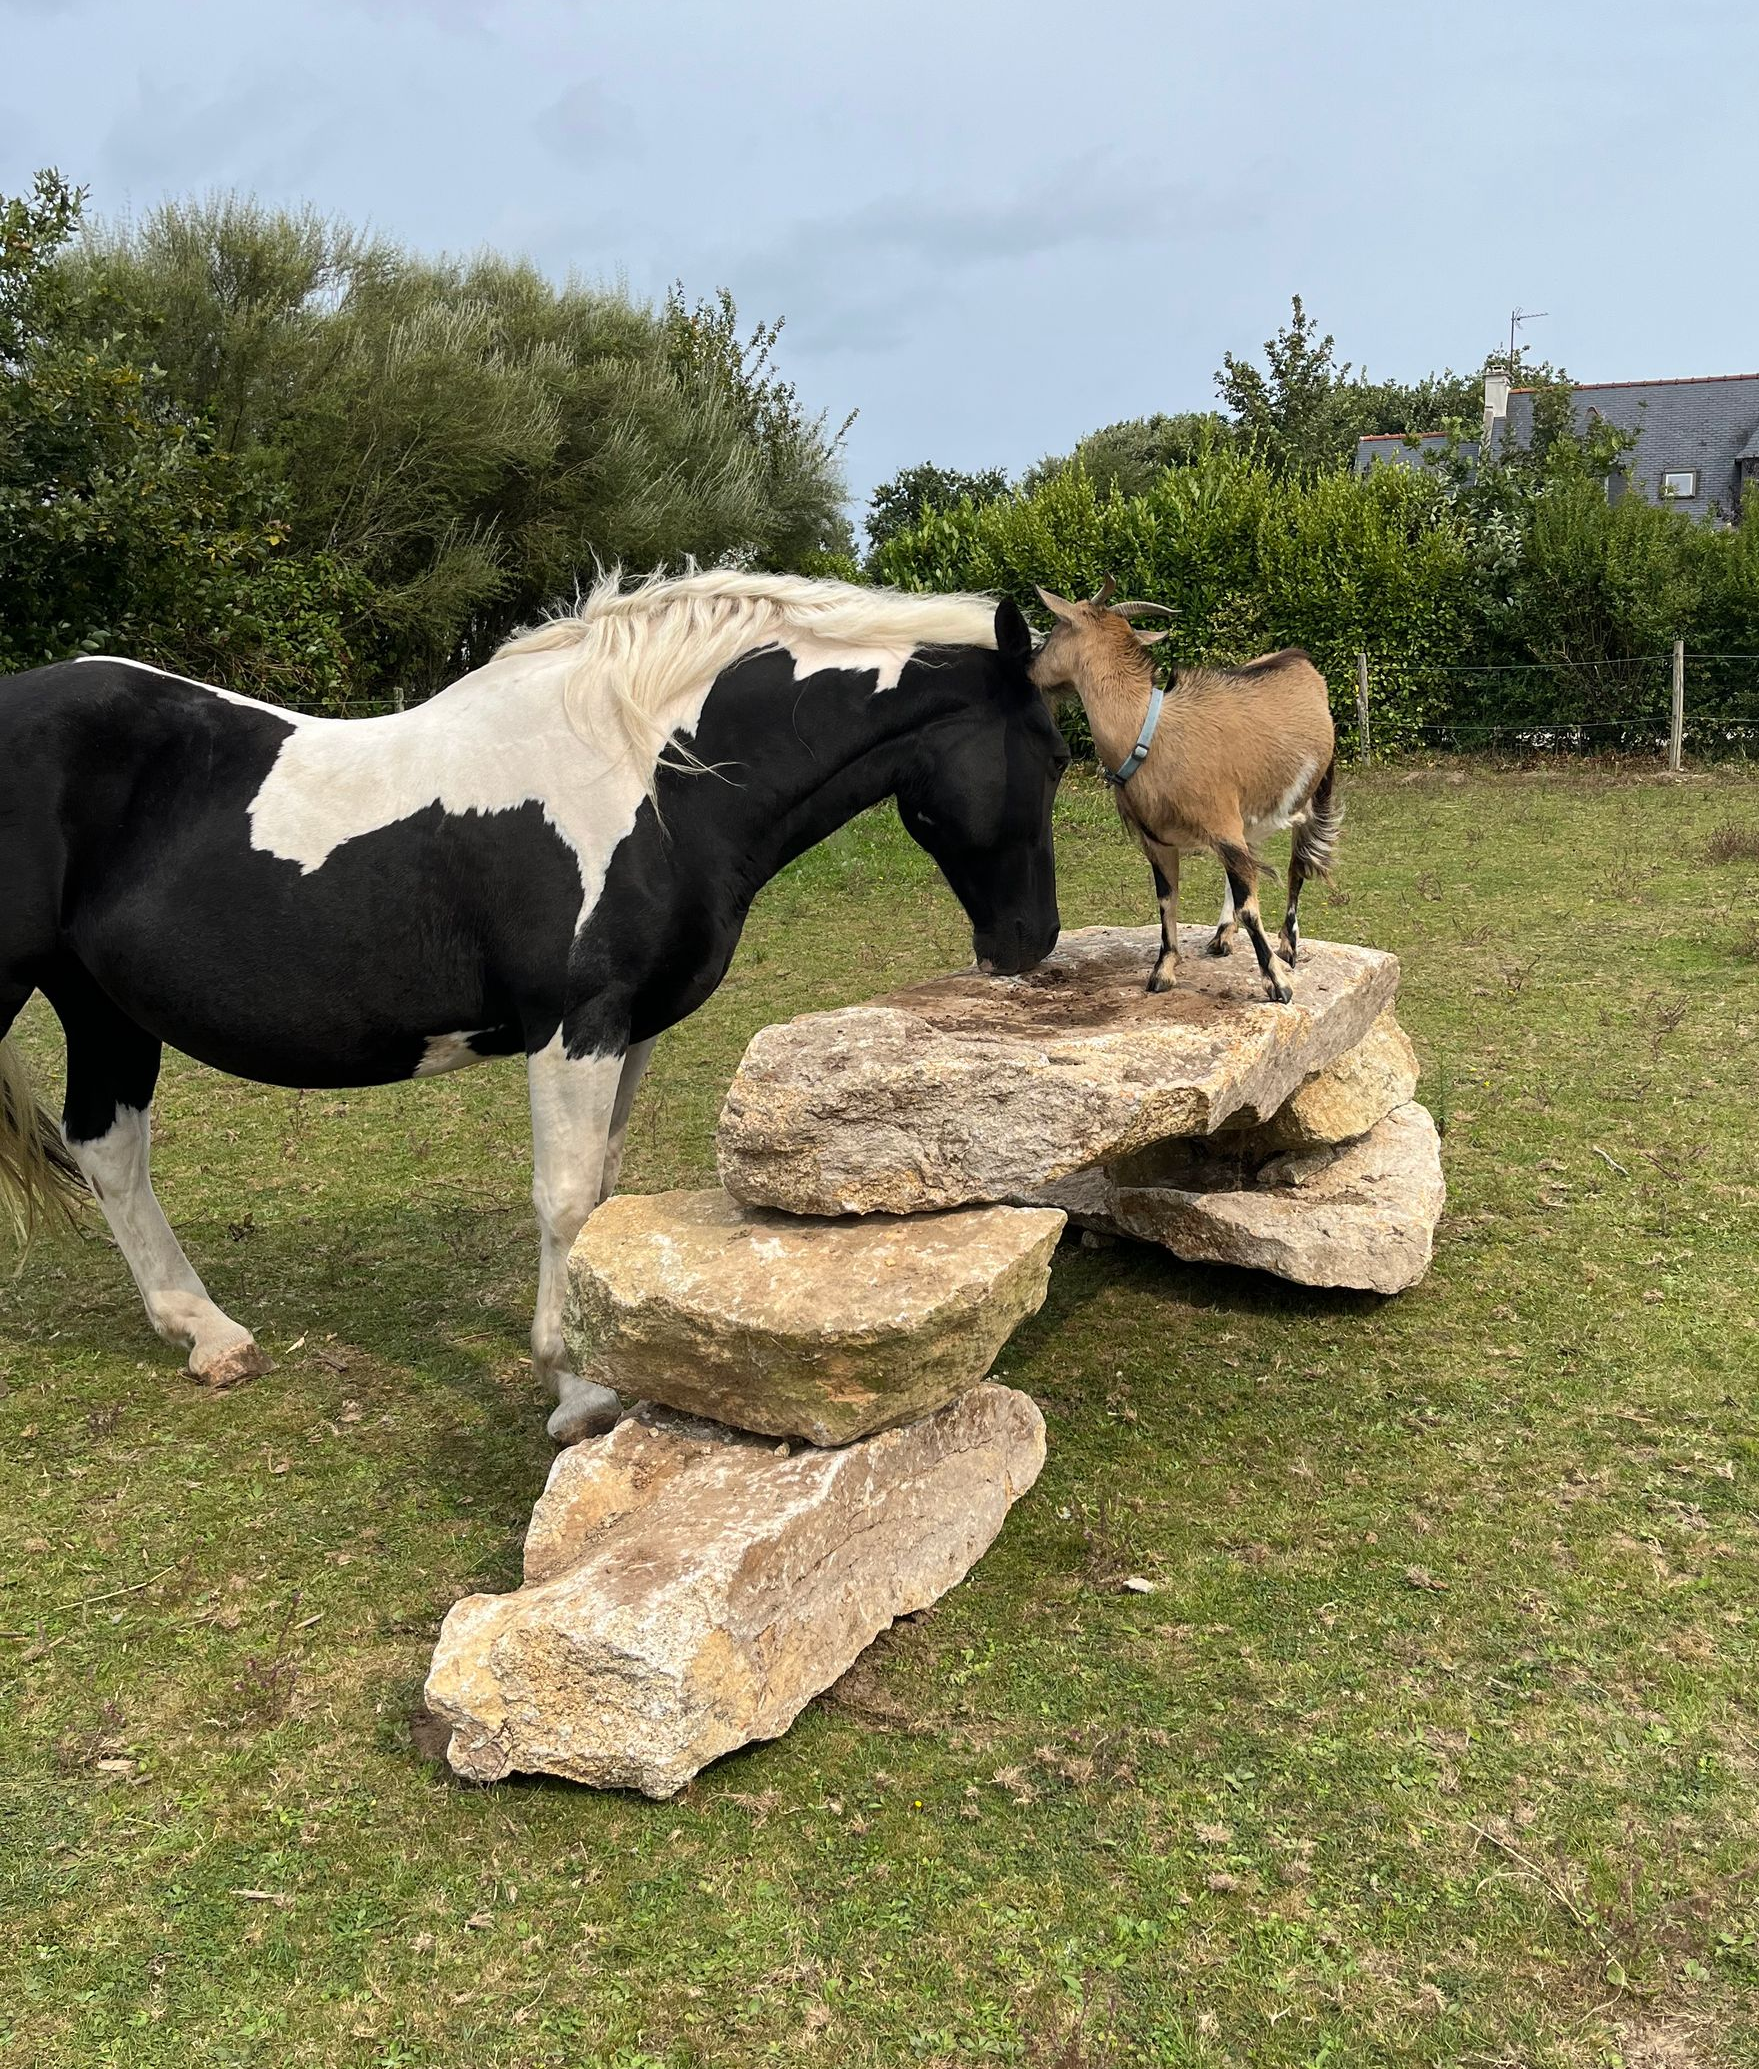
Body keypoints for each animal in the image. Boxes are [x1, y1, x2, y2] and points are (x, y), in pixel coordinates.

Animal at [0, 569, 1069, 1442]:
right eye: (1054, 755)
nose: (1030, 945)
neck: (649, 775)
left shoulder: (631, 1029)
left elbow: (599, 1187)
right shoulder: (575, 1024)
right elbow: (563, 1197)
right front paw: (577, 1390)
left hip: (102, 1006)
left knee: (107, 1145)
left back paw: (207, 1333)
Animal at [1030, 582, 1340, 1004]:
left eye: (1050, 632)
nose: (1029, 668)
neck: (1148, 733)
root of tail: (1300, 658)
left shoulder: (1222, 824)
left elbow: (1250, 906)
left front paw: (1277, 982)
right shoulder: (1160, 840)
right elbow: (1167, 899)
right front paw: (1163, 970)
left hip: (1309, 795)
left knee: (1297, 865)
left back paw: (1288, 946)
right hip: (1247, 814)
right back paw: (1223, 935)